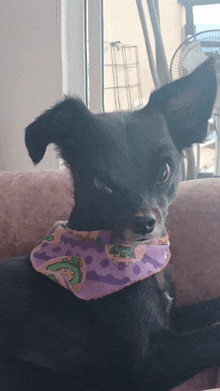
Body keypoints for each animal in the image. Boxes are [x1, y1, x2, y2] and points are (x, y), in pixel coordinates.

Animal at [1, 59, 220, 391]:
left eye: (164, 171)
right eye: (101, 184)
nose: (144, 223)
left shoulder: (171, 319)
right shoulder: (146, 364)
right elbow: (212, 336)